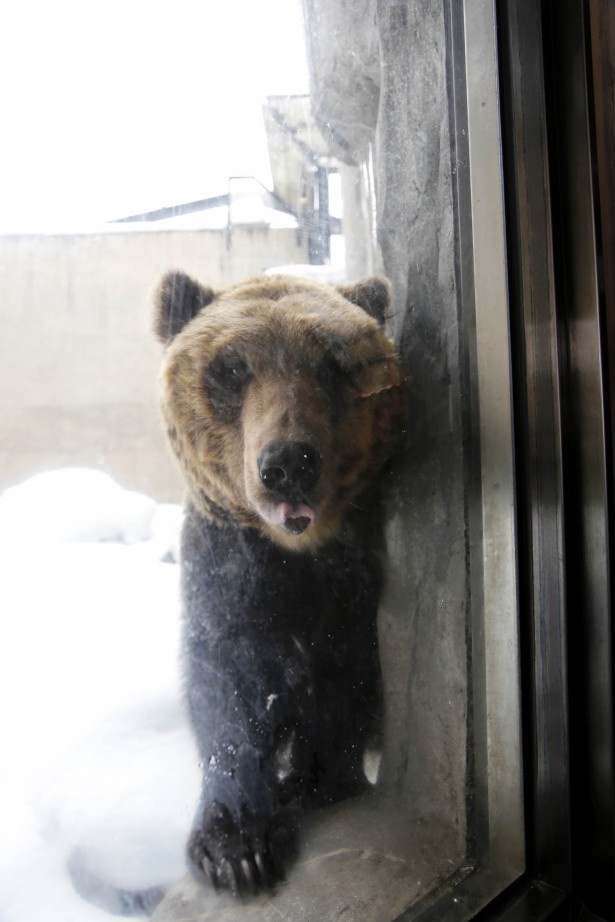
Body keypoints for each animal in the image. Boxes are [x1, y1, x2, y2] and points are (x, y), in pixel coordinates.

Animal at [154, 270, 404, 896]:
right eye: (232, 368)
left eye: (333, 365)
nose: (289, 462)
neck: (299, 553)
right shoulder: (229, 563)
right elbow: (232, 680)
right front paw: (235, 847)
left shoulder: (353, 577)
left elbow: (346, 673)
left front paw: (318, 780)